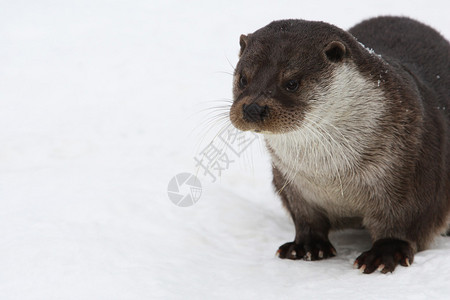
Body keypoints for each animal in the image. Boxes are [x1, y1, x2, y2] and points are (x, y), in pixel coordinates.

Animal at [230, 16, 450, 274]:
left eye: (292, 83)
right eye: (243, 78)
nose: (253, 108)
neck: (333, 177)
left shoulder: (412, 172)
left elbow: (404, 221)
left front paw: (385, 253)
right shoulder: (292, 183)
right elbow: (305, 218)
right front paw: (306, 246)